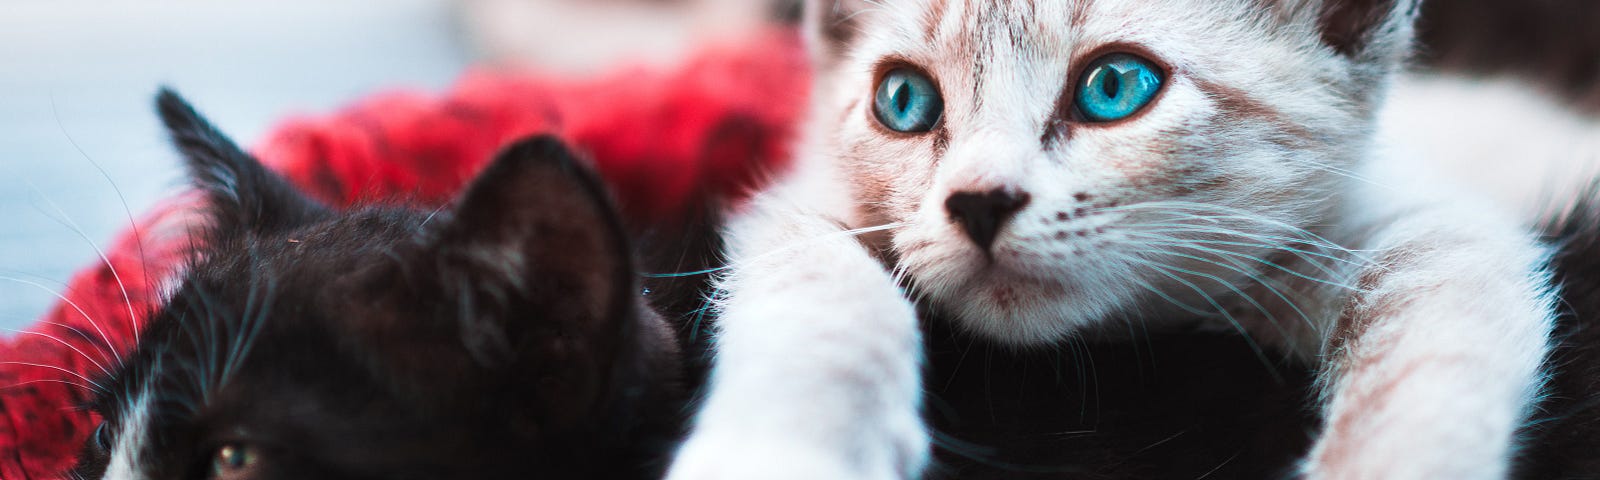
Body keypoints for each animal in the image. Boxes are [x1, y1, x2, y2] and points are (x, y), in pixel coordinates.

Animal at [668, 1, 1555, 476]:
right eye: (904, 100)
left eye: (1114, 87)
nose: (980, 203)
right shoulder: (800, 206)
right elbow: (822, 305)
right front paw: (784, 446)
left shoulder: (1422, 227)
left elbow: (1426, 382)